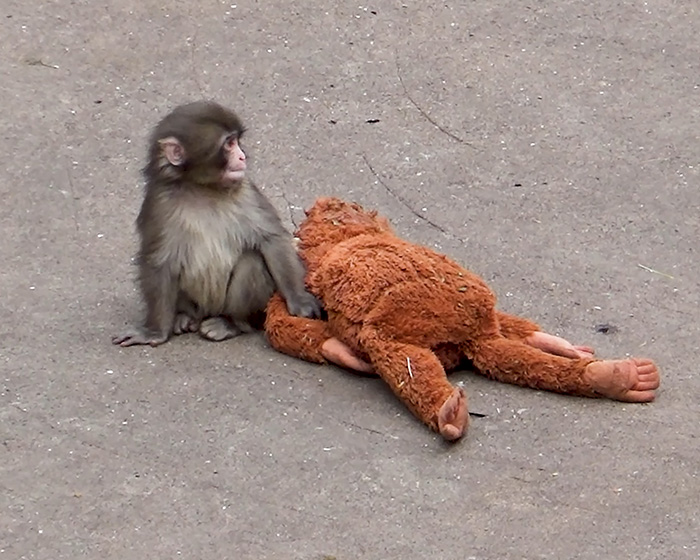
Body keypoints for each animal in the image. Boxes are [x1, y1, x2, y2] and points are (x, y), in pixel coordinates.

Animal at [113, 101, 321, 347]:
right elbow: (158, 262)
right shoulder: (159, 204)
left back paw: (231, 323)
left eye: (236, 141)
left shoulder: (246, 191)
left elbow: (272, 239)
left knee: (251, 262)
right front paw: (154, 332)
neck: (202, 188)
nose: (242, 157)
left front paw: (300, 301)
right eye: (229, 144)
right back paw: (185, 317)